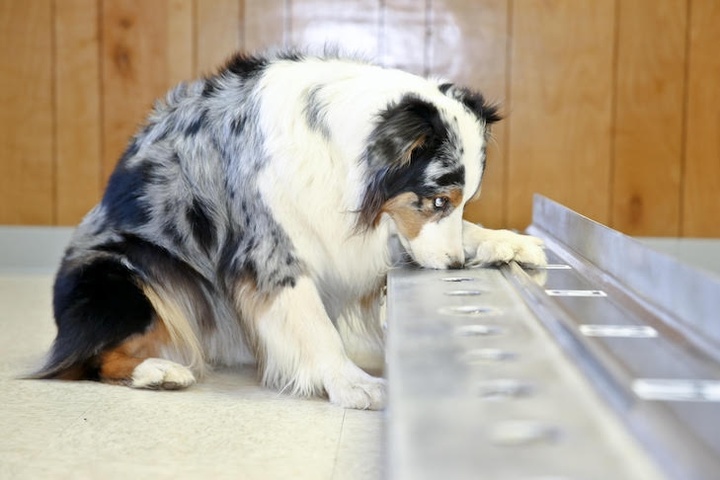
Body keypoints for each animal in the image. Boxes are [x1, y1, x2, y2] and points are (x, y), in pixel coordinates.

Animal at [31, 49, 544, 408]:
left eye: (463, 202)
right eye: (438, 200)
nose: (454, 265)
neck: (338, 148)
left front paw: (509, 243)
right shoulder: (269, 248)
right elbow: (314, 323)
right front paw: (353, 384)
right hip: (120, 276)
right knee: (88, 358)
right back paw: (158, 372)